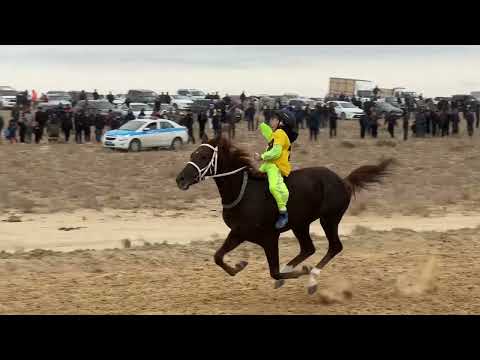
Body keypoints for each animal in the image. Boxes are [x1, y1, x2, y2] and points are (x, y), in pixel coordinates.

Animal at [174, 136, 392, 294]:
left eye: (203, 156)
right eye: (193, 153)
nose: (180, 179)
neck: (243, 192)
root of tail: (343, 181)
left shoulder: (270, 237)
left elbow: (274, 272)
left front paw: (301, 272)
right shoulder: (238, 233)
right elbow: (218, 257)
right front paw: (239, 264)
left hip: (329, 219)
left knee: (334, 247)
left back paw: (312, 278)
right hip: (301, 224)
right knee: (308, 248)